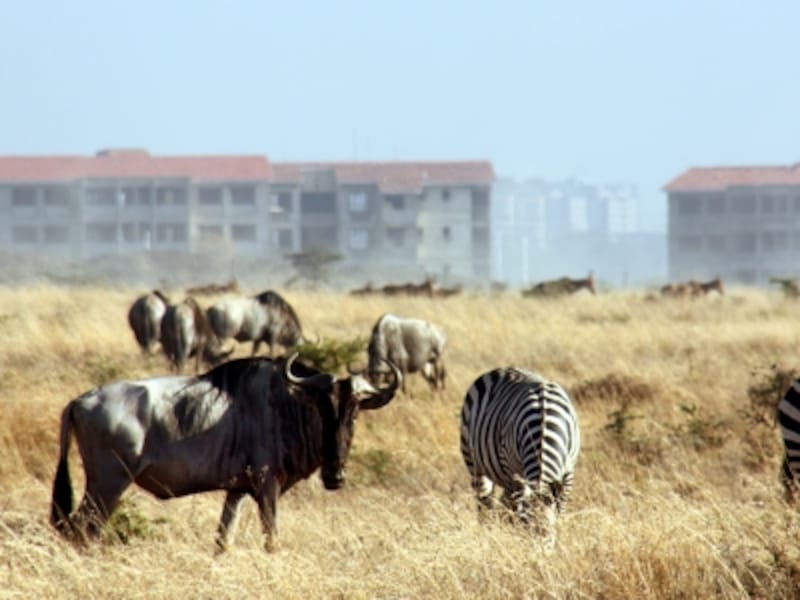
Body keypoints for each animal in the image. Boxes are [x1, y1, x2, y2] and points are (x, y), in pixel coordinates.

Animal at [456, 368, 580, 540]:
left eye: (549, 535)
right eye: (528, 532)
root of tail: (501, 369)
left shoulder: (568, 474)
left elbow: (560, 509)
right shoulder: (516, 475)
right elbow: (516, 514)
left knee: (503, 503)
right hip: (475, 463)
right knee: (485, 505)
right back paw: (487, 534)